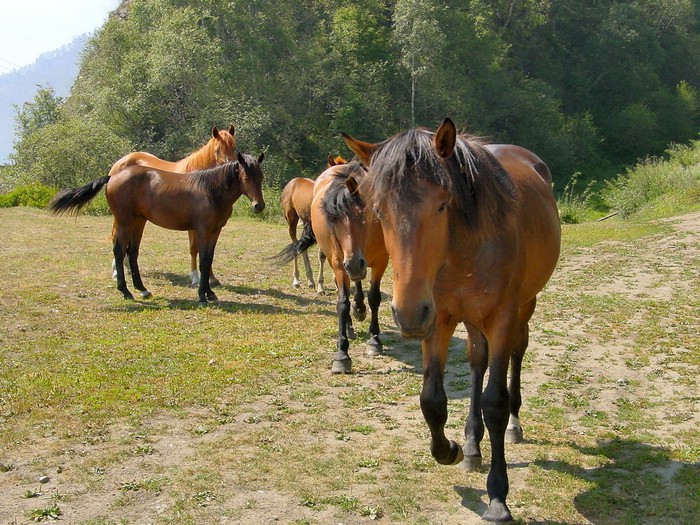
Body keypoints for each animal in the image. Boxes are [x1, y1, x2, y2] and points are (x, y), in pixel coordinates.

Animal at [47, 151, 264, 304]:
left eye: (261, 177)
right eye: (246, 178)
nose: (258, 206)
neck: (209, 190)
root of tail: (113, 176)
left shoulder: (215, 231)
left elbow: (209, 260)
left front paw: (210, 293)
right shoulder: (202, 231)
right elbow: (203, 262)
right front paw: (202, 296)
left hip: (139, 222)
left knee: (132, 252)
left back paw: (142, 289)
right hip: (125, 221)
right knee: (119, 251)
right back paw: (126, 291)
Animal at [109, 124, 238, 286]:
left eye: (234, 147)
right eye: (217, 149)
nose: (232, 168)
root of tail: (119, 163)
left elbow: (208, 253)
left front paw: (212, 278)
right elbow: (194, 248)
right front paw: (195, 278)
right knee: (115, 236)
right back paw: (115, 272)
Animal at [278, 154, 344, 292]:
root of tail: (291, 183)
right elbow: (322, 255)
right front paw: (321, 286)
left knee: (302, 247)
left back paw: (310, 280)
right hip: (292, 220)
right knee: (295, 245)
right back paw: (296, 280)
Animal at [342, 117, 560, 520]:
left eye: (443, 205)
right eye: (379, 211)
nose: (408, 313)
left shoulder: (501, 317)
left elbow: (495, 403)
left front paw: (497, 497)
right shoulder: (438, 318)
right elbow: (432, 400)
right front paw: (452, 450)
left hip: (524, 306)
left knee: (516, 355)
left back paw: (514, 426)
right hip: (470, 321)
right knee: (477, 361)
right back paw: (473, 445)